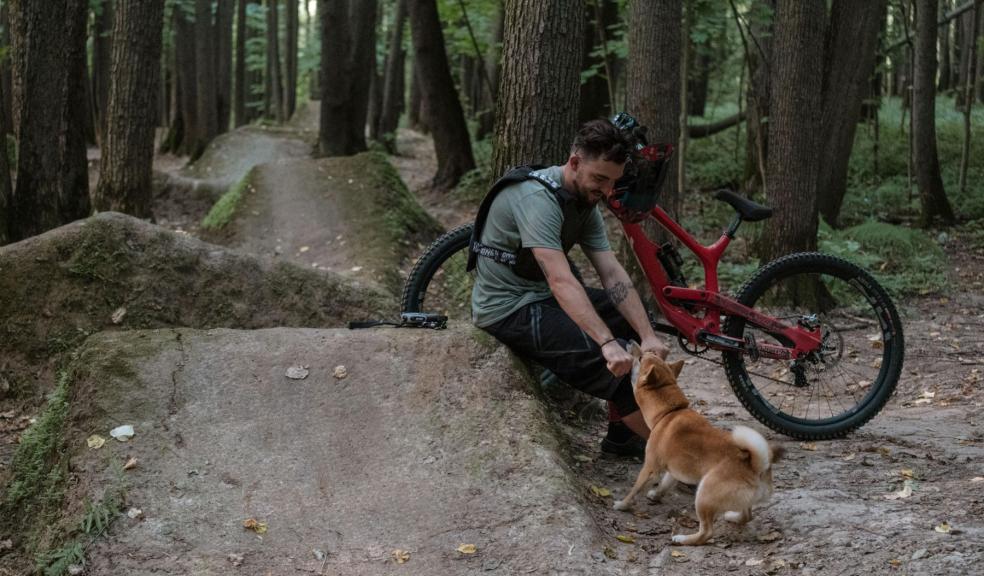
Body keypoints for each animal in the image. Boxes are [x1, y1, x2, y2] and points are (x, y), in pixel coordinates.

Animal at [616, 342, 784, 544]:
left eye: (641, 358)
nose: (630, 342)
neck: (669, 412)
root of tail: (756, 465)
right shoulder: (673, 468)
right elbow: (665, 484)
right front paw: (656, 495)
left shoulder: (650, 467)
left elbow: (635, 489)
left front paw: (622, 504)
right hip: (736, 499)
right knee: (747, 516)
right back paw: (732, 516)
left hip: (703, 495)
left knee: (707, 532)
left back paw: (683, 539)